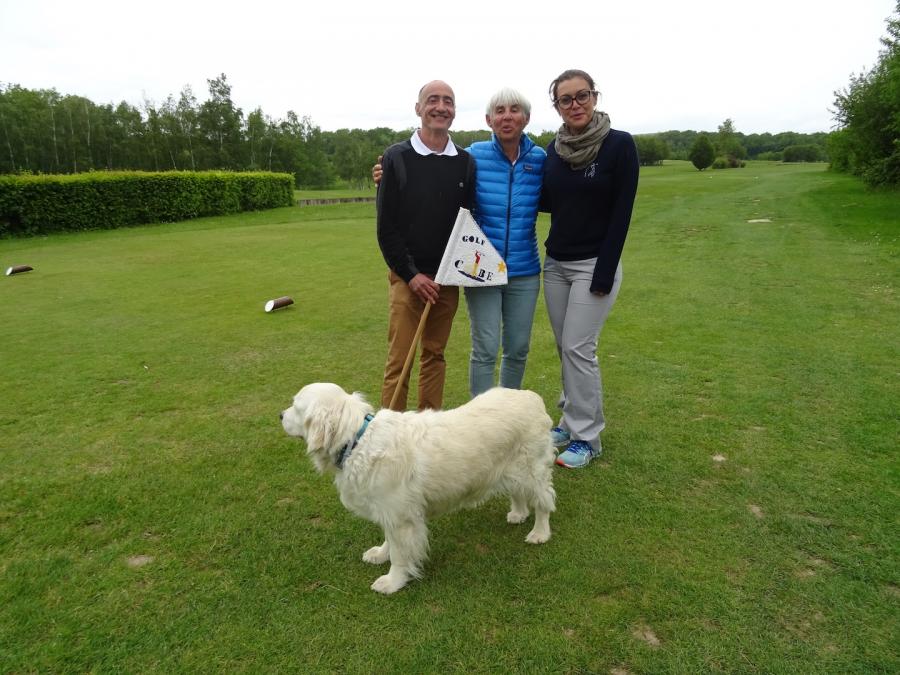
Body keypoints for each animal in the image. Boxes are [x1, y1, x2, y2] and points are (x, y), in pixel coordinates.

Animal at [278, 382, 556, 596]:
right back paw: (518, 513)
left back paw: (539, 532)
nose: (280, 415)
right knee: (518, 493)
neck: (357, 441)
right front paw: (380, 554)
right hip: (511, 469)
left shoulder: (402, 518)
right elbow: (390, 541)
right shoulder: (389, 511)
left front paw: (392, 582)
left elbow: (401, 554)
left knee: (543, 502)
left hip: (531, 470)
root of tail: (531, 396)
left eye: (296, 406)